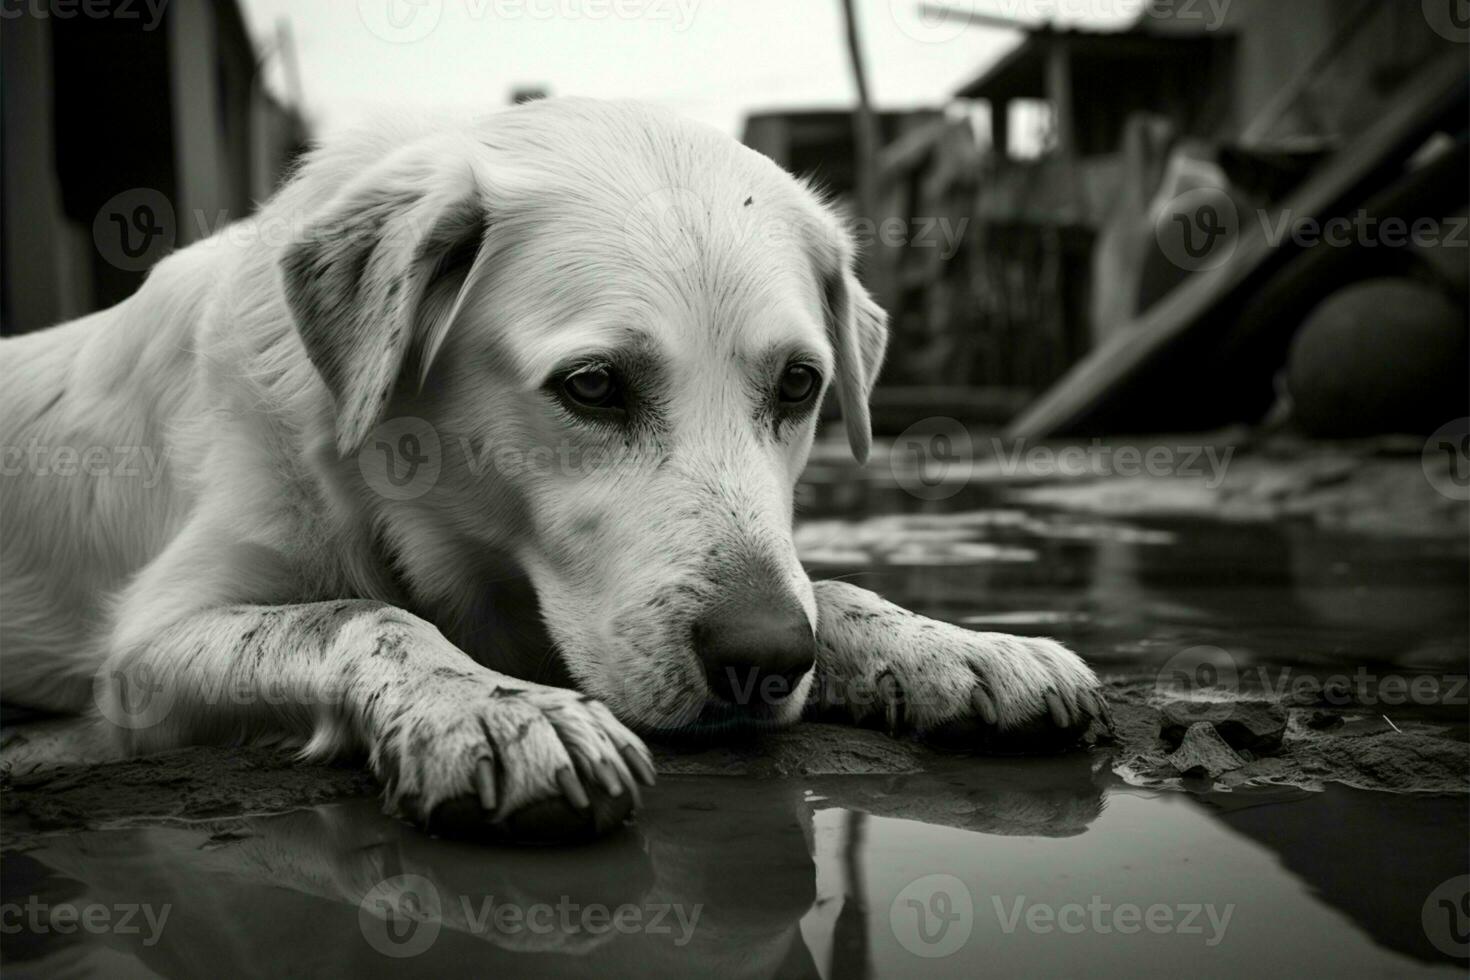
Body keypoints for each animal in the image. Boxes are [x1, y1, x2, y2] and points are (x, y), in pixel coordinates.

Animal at [0, 97, 1105, 834]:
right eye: (594, 385)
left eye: (798, 385)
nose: (764, 657)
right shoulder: (143, 657)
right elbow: (362, 612)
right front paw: (494, 710)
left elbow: (828, 589)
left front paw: (957, 647)